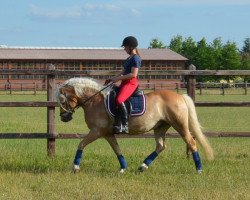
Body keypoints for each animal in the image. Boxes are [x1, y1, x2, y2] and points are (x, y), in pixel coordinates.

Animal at [55, 76, 214, 173]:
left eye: (62, 100)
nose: (63, 118)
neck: (95, 100)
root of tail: (180, 96)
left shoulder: (97, 131)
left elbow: (81, 144)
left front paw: (75, 167)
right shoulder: (107, 133)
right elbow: (117, 149)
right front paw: (123, 168)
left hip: (180, 125)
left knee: (191, 142)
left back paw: (199, 169)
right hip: (160, 127)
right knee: (161, 146)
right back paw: (142, 166)